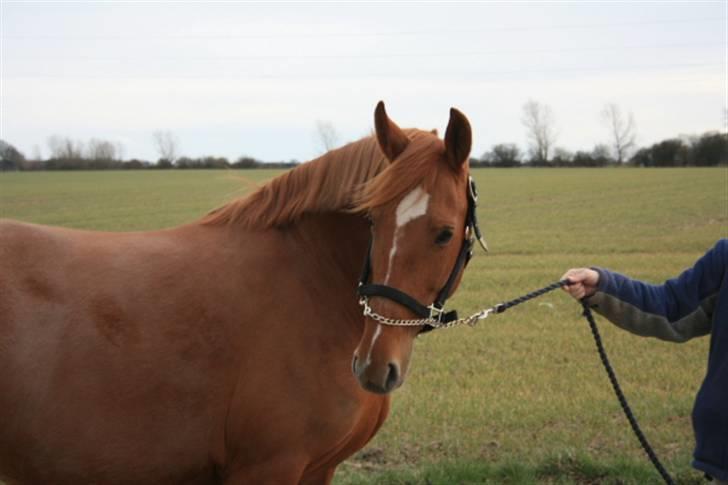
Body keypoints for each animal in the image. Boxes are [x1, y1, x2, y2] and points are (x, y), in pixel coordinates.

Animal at [0, 101, 474, 480]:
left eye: (445, 233)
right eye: (373, 220)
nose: (374, 365)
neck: (312, 278)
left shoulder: (318, 469)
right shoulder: (269, 467)